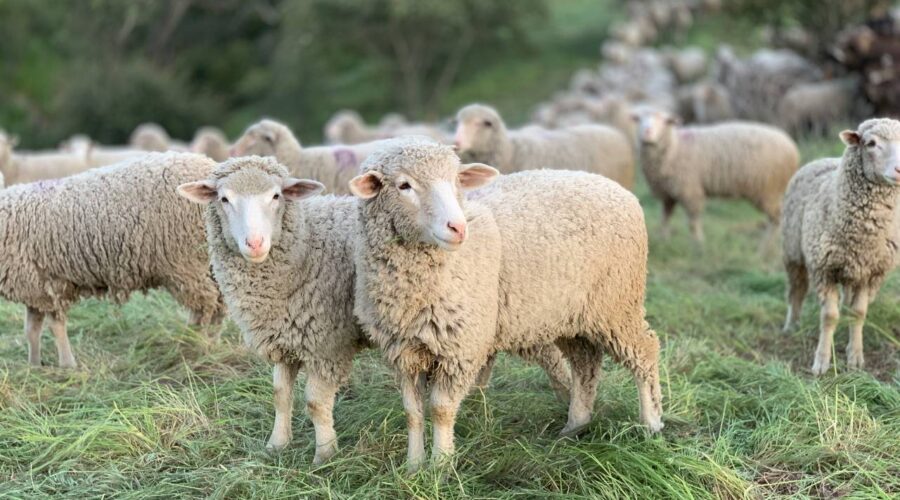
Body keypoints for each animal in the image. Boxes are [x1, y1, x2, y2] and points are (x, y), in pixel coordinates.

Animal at [0, 152, 225, 368]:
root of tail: (210, 165)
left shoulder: (49, 285)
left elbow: (55, 326)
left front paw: (67, 365)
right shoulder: (33, 286)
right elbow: (32, 330)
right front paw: (34, 366)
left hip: (186, 263)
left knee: (205, 305)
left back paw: (193, 344)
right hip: (207, 262)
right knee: (220, 303)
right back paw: (210, 342)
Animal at [177, 155, 572, 465]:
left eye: (276, 196)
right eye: (224, 198)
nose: (255, 243)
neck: (305, 247)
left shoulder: (327, 343)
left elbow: (315, 403)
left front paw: (325, 455)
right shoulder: (284, 338)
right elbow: (279, 394)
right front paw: (276, 444)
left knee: (554, 360)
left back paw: (569, 408)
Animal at [350, 138, 663, 470]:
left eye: (457, 180)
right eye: (404, 185)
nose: (458, 228)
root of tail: (619, 189)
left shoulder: (461, 347)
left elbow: (441, 410)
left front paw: (441, 466)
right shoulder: (402, 351)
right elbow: (412, 412)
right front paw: (413, 466)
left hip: (617, 303)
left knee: (644, 351)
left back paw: (651, 423)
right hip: (572, 314)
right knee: (585, 364)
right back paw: (575, 425)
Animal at [632, 108, 800, 243]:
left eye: (665, 121)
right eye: (640, 120)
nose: (647, 132)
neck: (675, 148)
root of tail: (792, 147)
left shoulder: (690, 190)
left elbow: (693, 222)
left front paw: (698, 243)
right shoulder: (668, 194)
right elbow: (665, 218)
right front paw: (664, 239)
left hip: (768, 190)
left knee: (777, 219)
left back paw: (765, 250)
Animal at [781, 119, 900, 375]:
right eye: (871, 143)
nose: (899, 170)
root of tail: (822, 158)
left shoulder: (870, 272)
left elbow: (858, 313)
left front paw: (855, 356)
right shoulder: (823, 269)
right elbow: (829, 316)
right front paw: (821, 362)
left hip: (851, 269)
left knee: (846, 300)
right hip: (792, 252)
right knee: (796, 291)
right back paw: (791, 325)